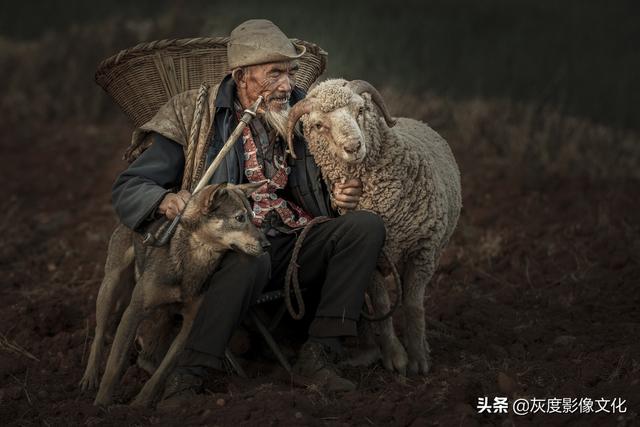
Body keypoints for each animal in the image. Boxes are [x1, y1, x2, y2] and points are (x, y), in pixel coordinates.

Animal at [80, 181, 268, 408]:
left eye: (253, 215)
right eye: (240, 218)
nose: (267, 245)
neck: (196, 255)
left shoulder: (189, 324)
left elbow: (163, 371)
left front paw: (140, 404)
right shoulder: (134, 312)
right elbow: (114, 365)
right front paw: (102, 405)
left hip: (163, 312)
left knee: (150, 350)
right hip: (110, 285)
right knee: (99, 332)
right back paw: (90, 377)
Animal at [284, 79, 460, 374]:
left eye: (361, 110)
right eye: (319, 125)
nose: (354, 146)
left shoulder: (423, 251)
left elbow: (413, 305)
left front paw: (418, 358)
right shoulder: (373, 258)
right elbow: (380, 304)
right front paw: (395, 356)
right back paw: (366, 351)